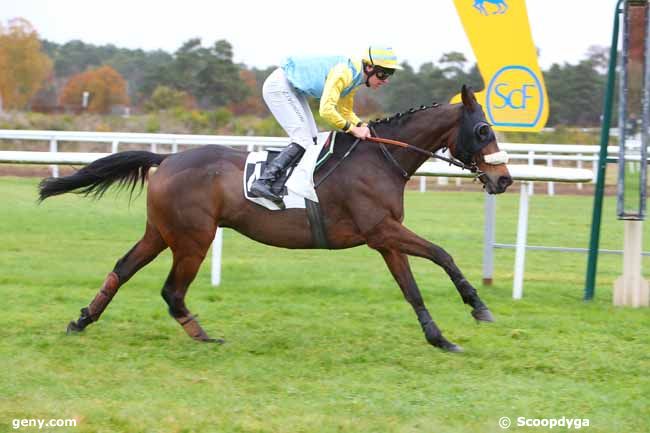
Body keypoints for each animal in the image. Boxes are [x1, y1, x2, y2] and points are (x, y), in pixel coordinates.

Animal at [39, 85, 512, 352]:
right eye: (484, 130)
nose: (504, 179)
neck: (381, 159)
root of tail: (167, 158)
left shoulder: (384, 238)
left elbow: (411, 289)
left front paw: (440, 338)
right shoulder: (382, 229)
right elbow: (442, 253)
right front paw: (479, 307)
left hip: (160, 232)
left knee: (122, 269)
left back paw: (81, 320)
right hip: (193, 239)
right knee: (172, 291)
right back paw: (205, 337)